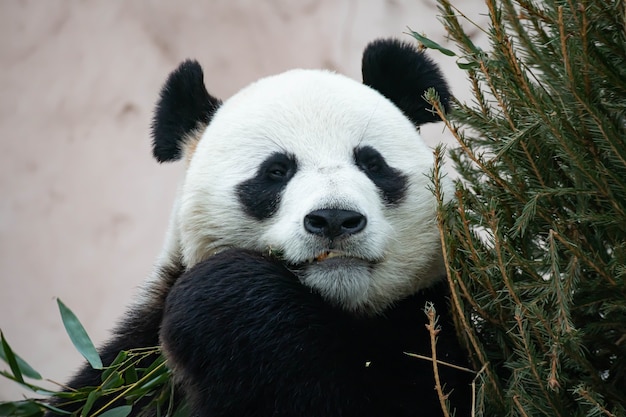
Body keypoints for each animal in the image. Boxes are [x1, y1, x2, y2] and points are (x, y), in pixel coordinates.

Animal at [47, 38, 468, 412]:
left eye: (372, 164)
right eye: (276, 171)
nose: (334, 219)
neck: (331, 308)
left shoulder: (434, 326)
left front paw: (221, 293)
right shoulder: (131, 364)